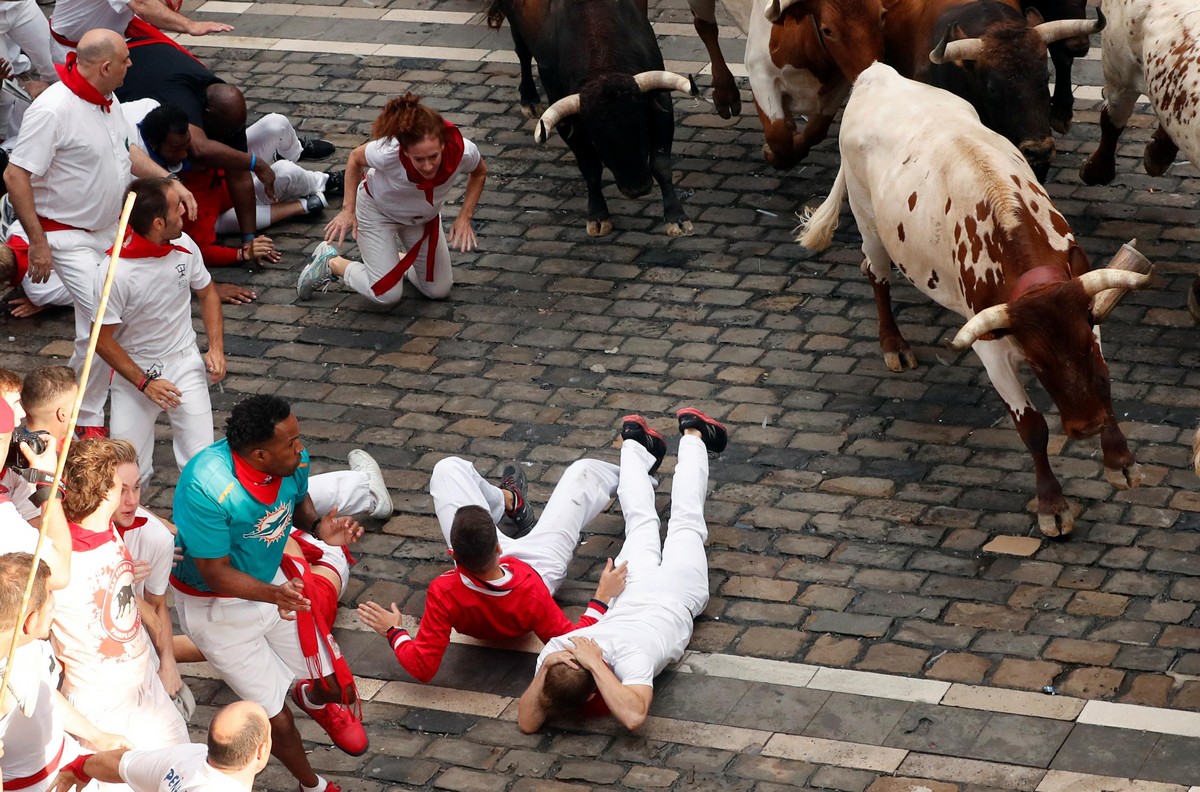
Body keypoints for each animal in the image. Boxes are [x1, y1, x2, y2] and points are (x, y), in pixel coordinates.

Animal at [484, 0, 696, 236]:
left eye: (643, 129)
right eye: (596, 140)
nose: (637, 189)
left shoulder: (660, 102)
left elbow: (661, 164)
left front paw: (676, 218)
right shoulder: (567, 121)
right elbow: (590, 167)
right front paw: (598, 216)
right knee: (521, 48)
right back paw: (528, 99)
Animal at [801, 60, 1147, 532]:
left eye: (1083, 343)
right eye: (1037, 362)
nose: (1087, 427)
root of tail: (876, 74)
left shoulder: (1084, 308)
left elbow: (1104, 381)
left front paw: (1119, 461)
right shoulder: (992, 347)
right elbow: (1032, 428)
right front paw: (1052, 505)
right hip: (868, 220)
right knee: (876, 273)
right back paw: (894, 344)